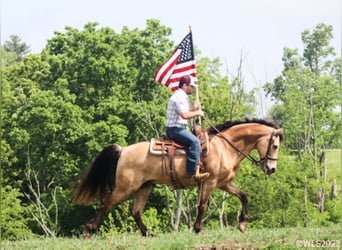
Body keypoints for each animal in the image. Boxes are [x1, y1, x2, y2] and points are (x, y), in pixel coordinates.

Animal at [72, 118, 284, 237]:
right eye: (275, 146)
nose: (272, 169)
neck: (225, 146)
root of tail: (123, 150)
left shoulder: (224, 183)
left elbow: (243, 196)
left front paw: (242, 223)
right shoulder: (210, 182)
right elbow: (202, 205)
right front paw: (198, 229)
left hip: (144, 187)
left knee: (136, 211)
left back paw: (148, 234)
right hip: (125, 188)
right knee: (105, 204)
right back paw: (90, 229)